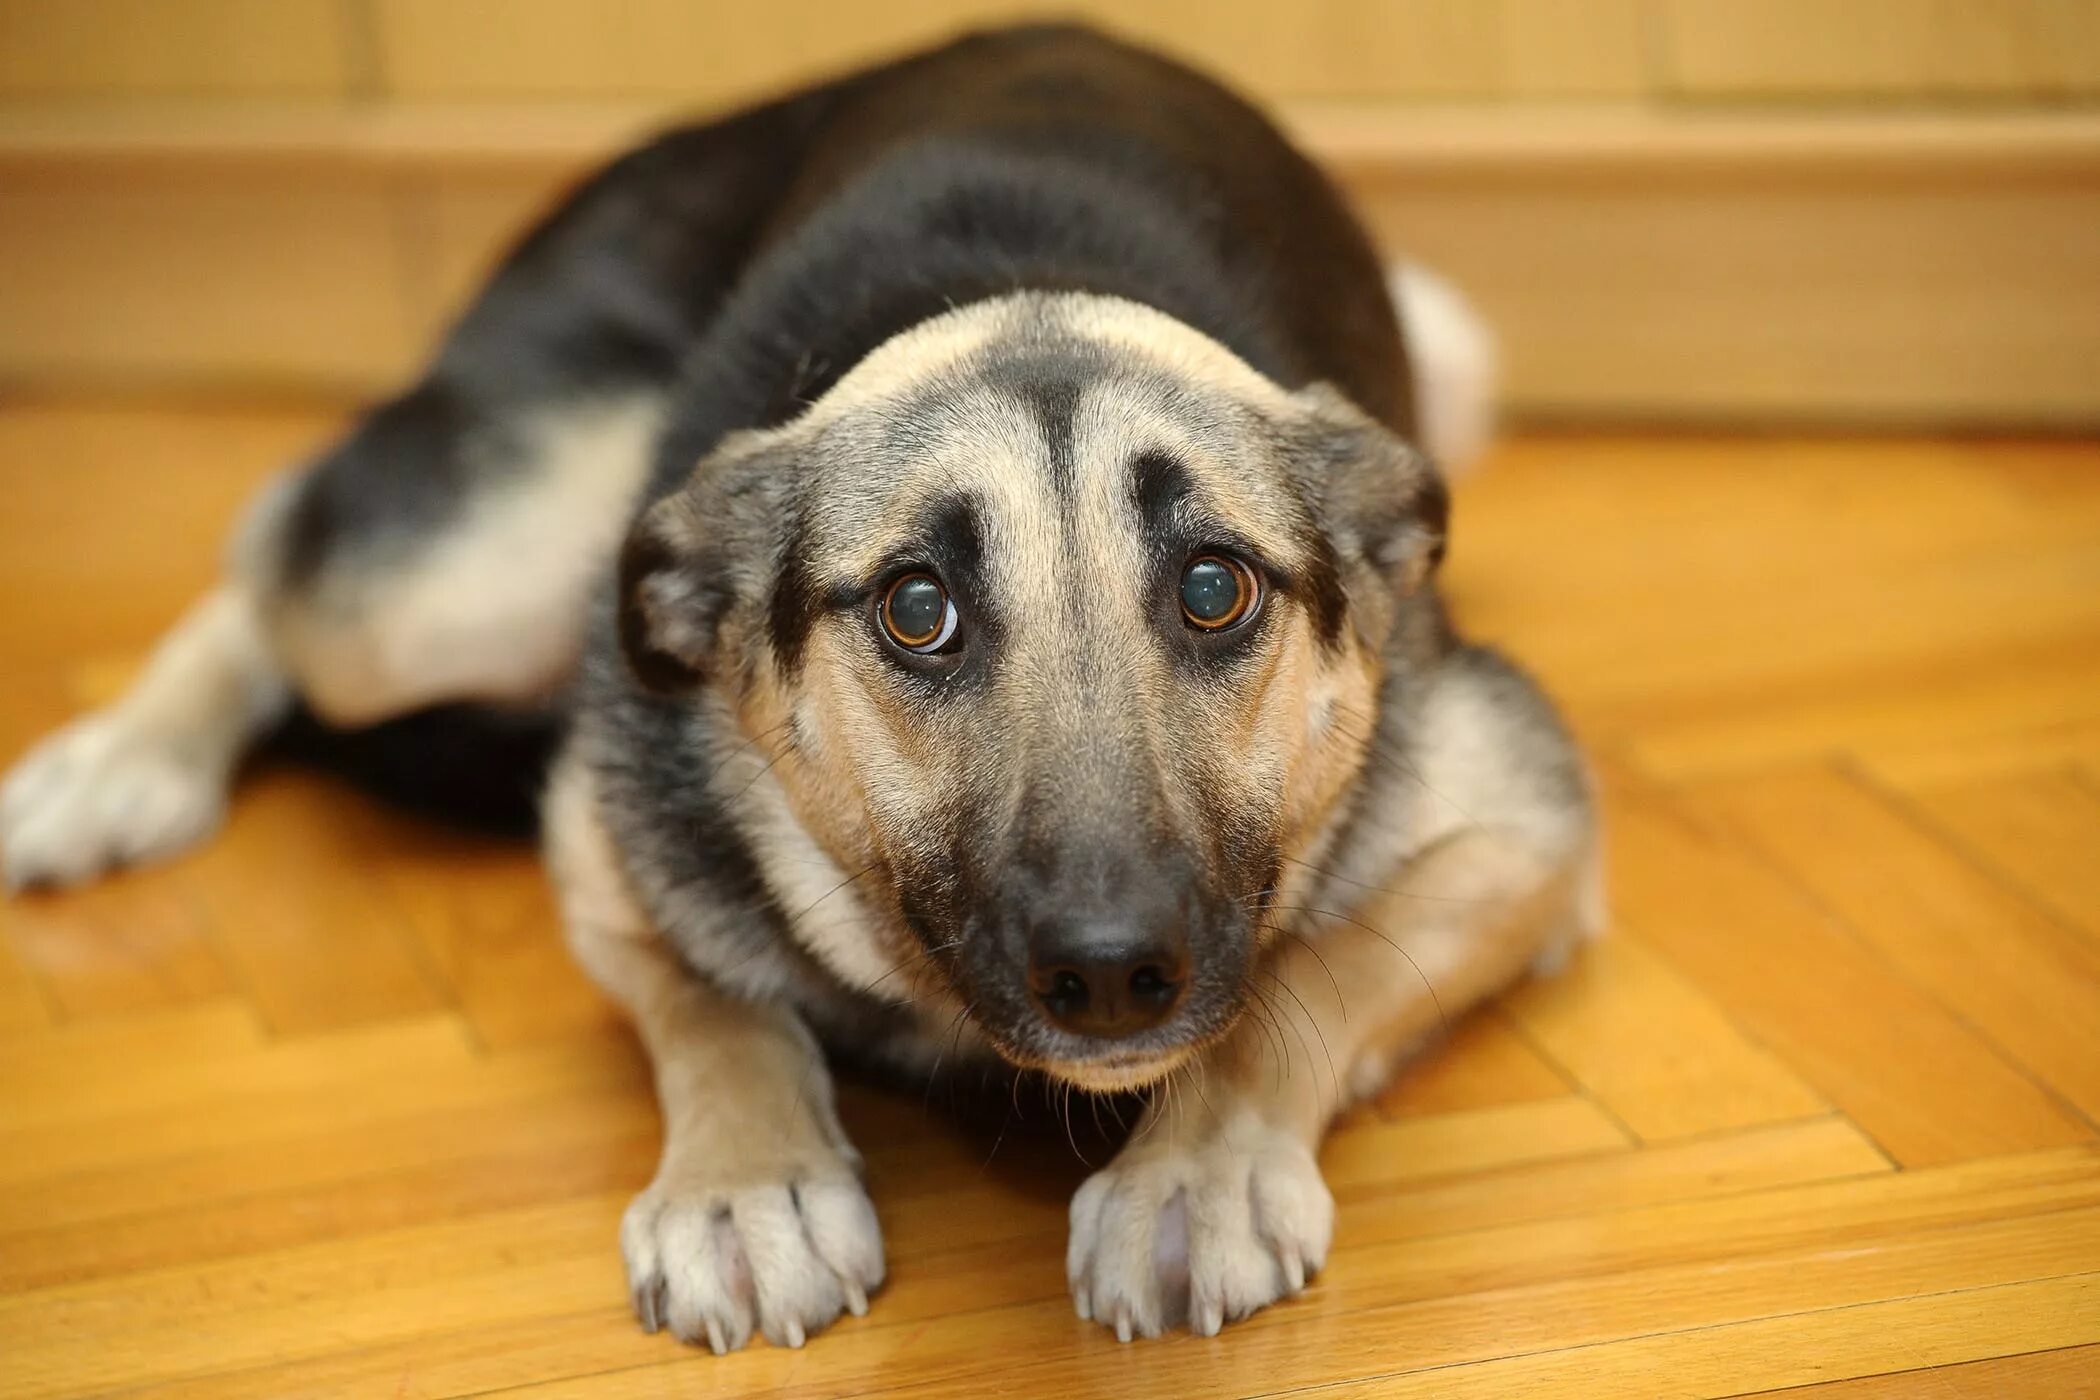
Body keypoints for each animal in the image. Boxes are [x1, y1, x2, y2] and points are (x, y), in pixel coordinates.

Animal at [0, 21, 1587, 1351]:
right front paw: (747, 1176)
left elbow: (1312, 966)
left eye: (1215, 588)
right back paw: (119, 761)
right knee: (276, 549)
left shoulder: (1529, 829)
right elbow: (714, 998)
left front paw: (1199, 1162)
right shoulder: (603, 837)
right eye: (918, 610)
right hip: (444, 581)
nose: (1110, 970)